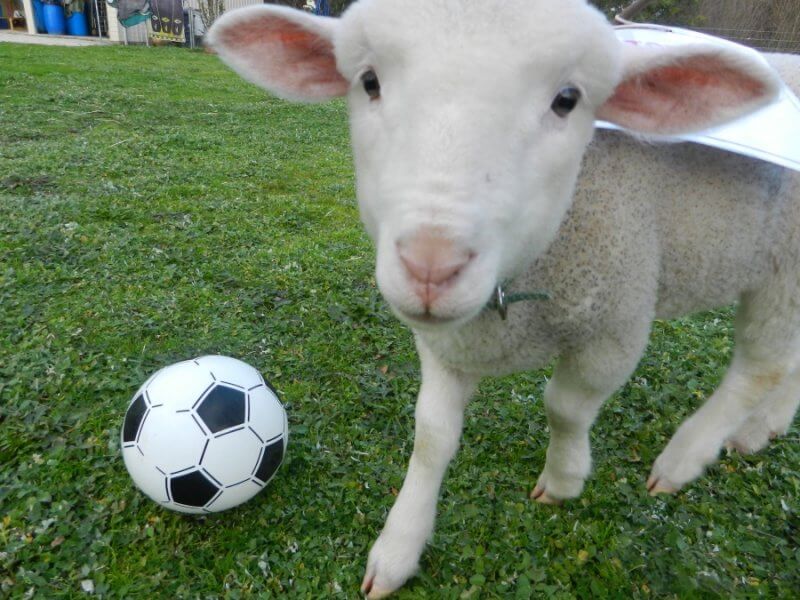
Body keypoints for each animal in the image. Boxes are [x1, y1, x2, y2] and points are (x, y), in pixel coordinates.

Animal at [208, 1, 800, 596]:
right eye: (369, 81)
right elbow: (432, 435)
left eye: (568, 99)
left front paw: (562, 479)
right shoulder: (444, 342)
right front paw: (399, 547)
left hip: (782, 270)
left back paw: (685, 458)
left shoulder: (617, 322)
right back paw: (760, 429)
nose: (431, 268)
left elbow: (565, 407)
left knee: (758, 368)